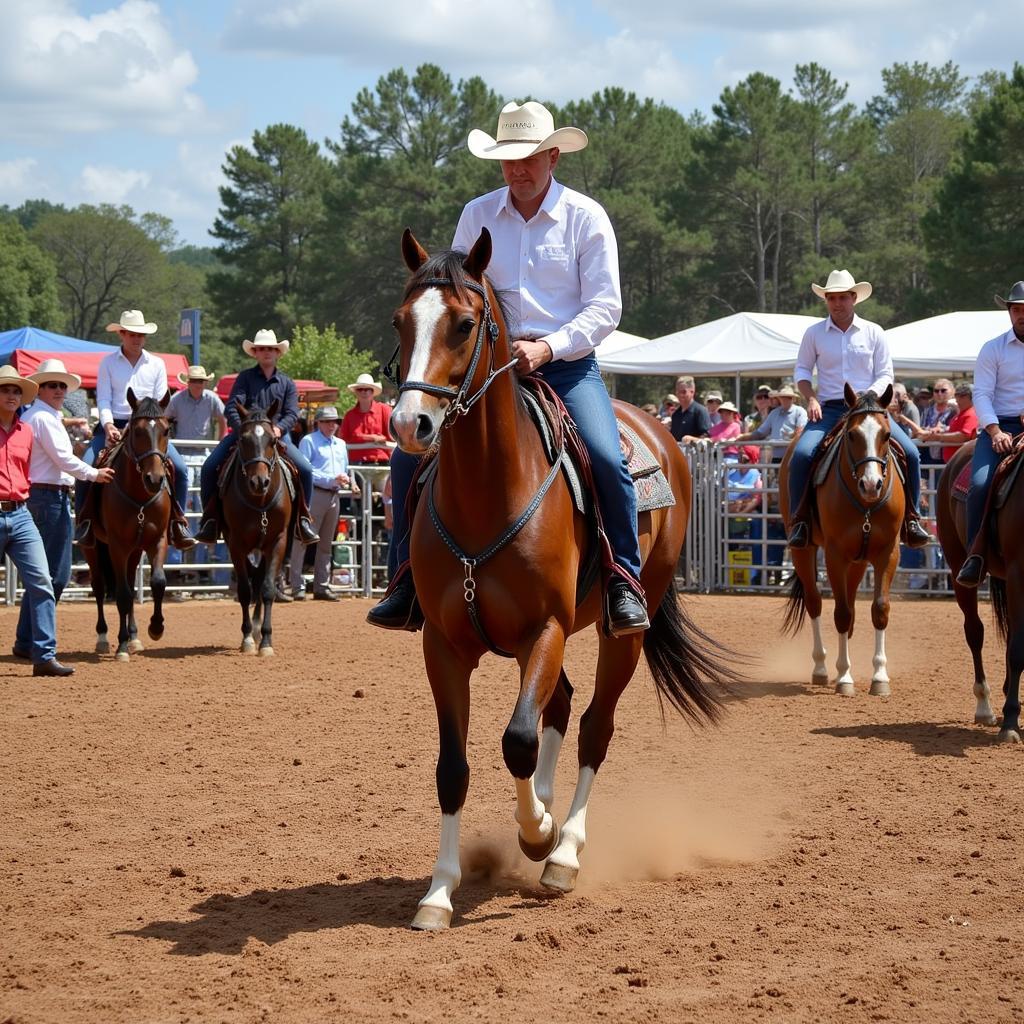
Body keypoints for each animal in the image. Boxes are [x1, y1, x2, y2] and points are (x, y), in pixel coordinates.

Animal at [82, 387, 171, 659]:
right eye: (137, 431)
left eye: (166, 430)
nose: (154, 479)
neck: (140, 497)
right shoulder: (117, 546)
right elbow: (121, 594)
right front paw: (121, 645)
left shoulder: (157, 540)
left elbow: (158, 582)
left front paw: (155, 628)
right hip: (92, 548)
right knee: (100, 586)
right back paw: (103, 637)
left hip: (135, 550)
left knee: (131, 584)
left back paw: (134, 636)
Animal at [221, 399, 292, 655]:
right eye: (243, 440)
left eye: (273, 441)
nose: (259, 482)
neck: (260, 501)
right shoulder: (236, 544)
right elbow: (244, 590)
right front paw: (247, 639)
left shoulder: (278, 541)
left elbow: (268, 589)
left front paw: (266, 641)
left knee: (261, 582)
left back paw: (258, 626)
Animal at [385, 228, 729, 933]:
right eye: (401, 321)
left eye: (464, 324)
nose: (410, 425)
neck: (489, 492)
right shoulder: (444, 646)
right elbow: (453, 766)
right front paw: (438, 893)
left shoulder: (546, 627)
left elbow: (517, 739)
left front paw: (538, 833)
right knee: (563, 705)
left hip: (621, 631)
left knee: (595, 725)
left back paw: (563, 848)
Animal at [774, 385, 905, 696]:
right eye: (852, 435)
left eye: (887, 435)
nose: (871, 485)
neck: (865, 504)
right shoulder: (835, 555)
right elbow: (841, 613)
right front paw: (844, 677)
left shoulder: (888, 553)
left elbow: (879, 609)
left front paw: (879, 676)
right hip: (804, 551)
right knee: (815, 603)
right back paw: (822, 668)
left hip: (858, 561)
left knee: (853, 603)